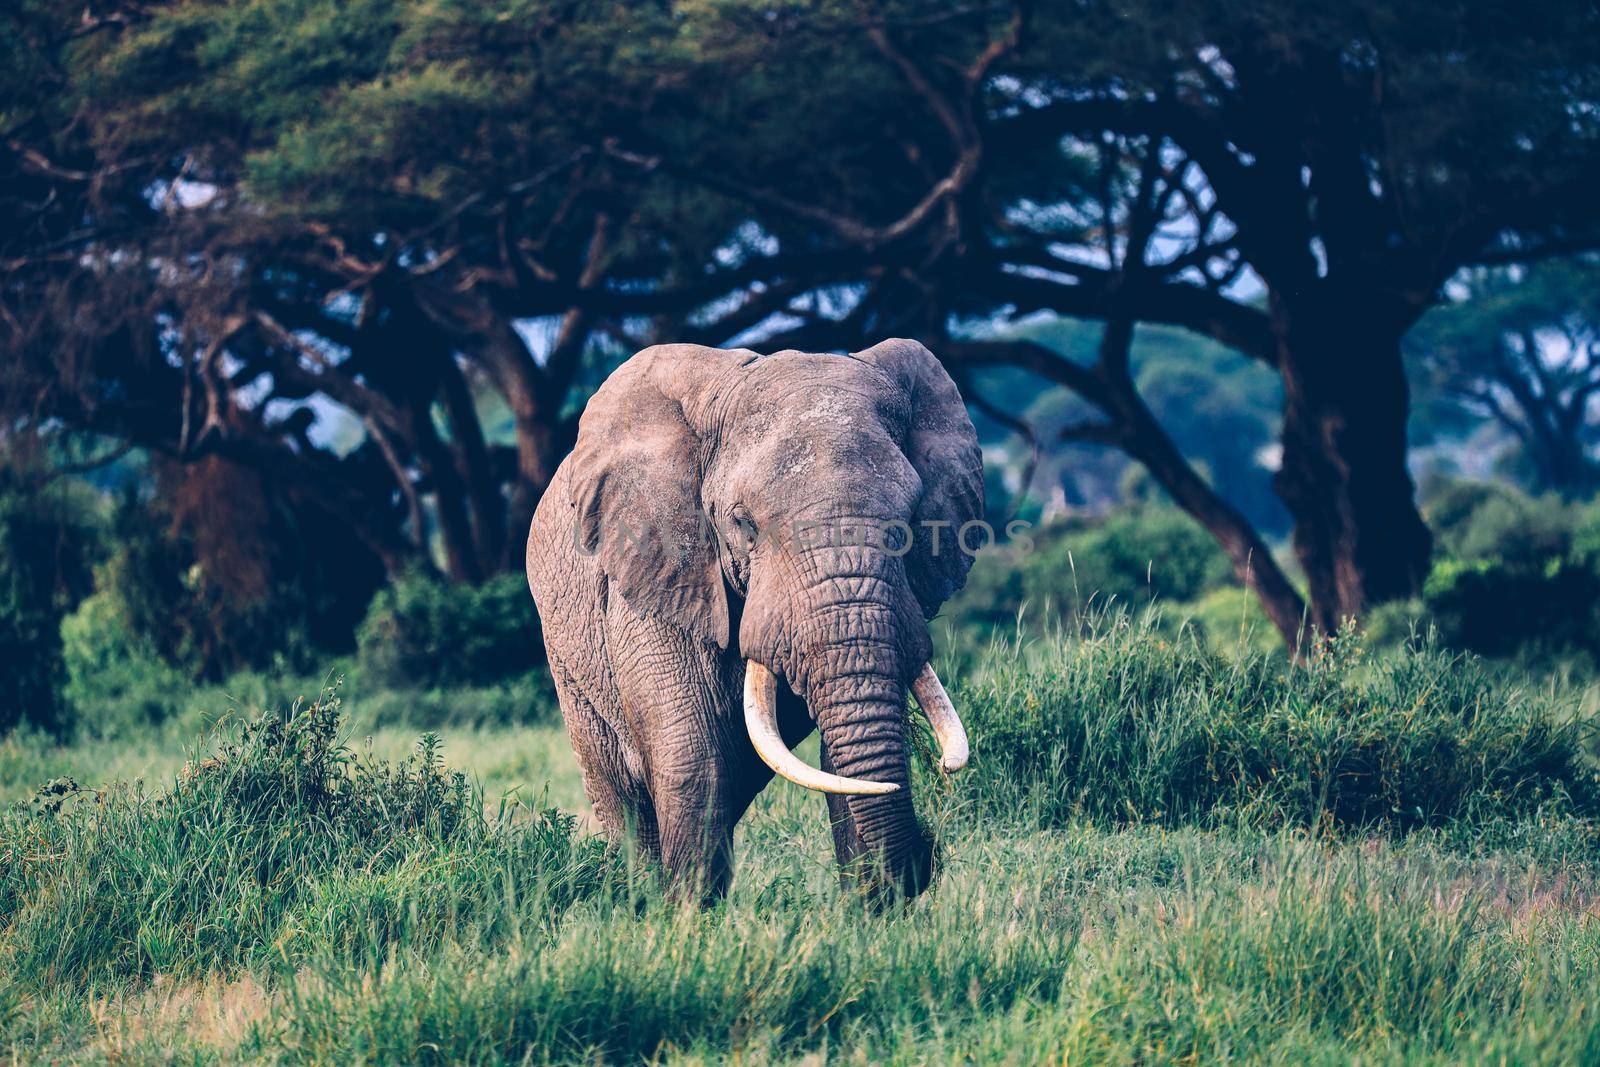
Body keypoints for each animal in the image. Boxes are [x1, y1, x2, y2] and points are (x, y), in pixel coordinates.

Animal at [528, 340, 972, 902]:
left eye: (912, 521)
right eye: (745, 524)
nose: (928, 853)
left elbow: (839, 764)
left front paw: (872, 913)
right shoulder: (656, 571)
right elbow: (693, 759)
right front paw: (687, 917)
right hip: (568, 664)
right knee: (626, 799)